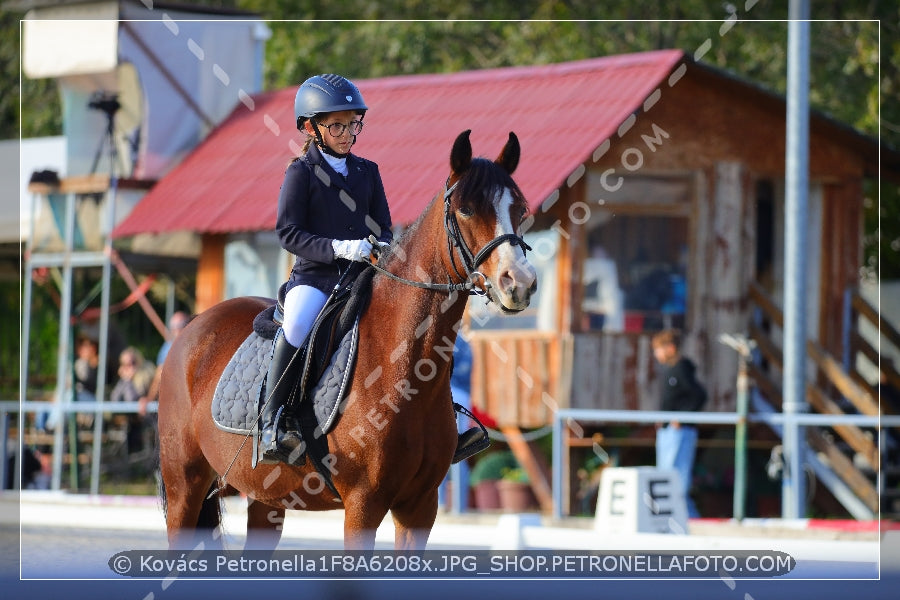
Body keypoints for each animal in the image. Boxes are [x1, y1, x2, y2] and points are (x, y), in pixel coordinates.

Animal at [156, 129, 536, 552]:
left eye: (520, 208)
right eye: (467, 209)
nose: (519, 283)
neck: (403, 365)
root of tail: (193, 328)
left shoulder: (420, 507)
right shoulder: (363, 503)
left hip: (265, 497)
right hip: (184, 486)